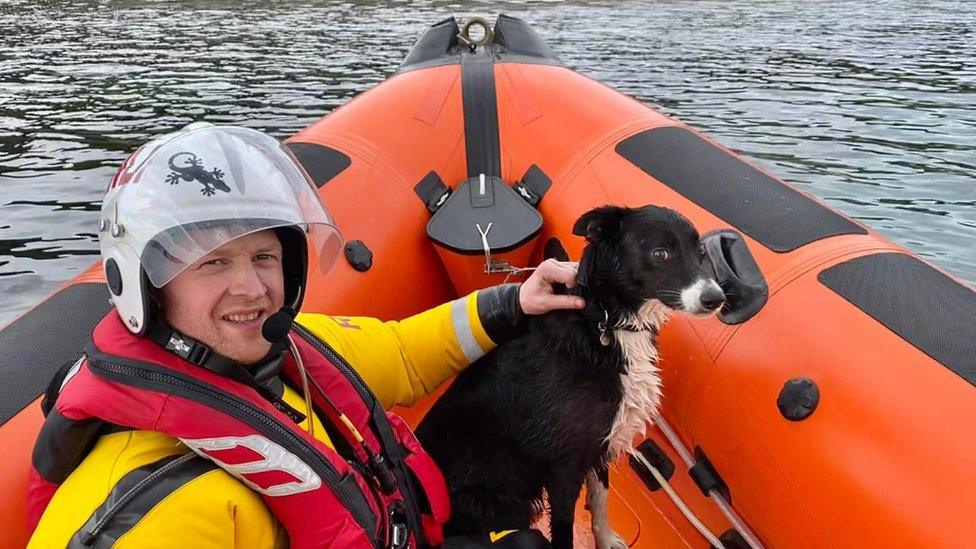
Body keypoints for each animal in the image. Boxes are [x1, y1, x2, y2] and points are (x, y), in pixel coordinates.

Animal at [416, 206, 728, 548]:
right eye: (661, 253)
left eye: (700, 252)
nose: (717, 298)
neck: (606, 322)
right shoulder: (563, 466)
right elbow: (565, 529)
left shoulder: (600, 443)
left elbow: (601, 499)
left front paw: (604, 539)